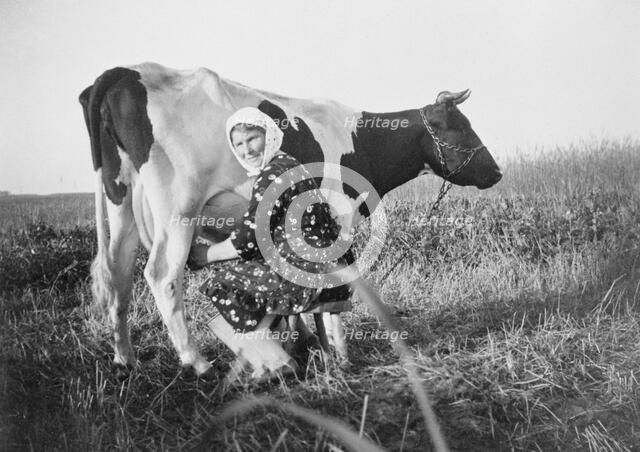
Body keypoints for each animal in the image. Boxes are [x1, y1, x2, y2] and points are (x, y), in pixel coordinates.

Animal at [79, 62, 502, 377]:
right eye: (462, 127)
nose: (497, 172)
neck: (359, 144)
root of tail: (122, 72)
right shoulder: (339, 214)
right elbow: (336, 280)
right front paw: (340, 352)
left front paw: (308, 342)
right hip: (177, 209)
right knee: (162, 276)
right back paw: (197, 362)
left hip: (120, 202)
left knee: (118, 273)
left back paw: (124, 357)